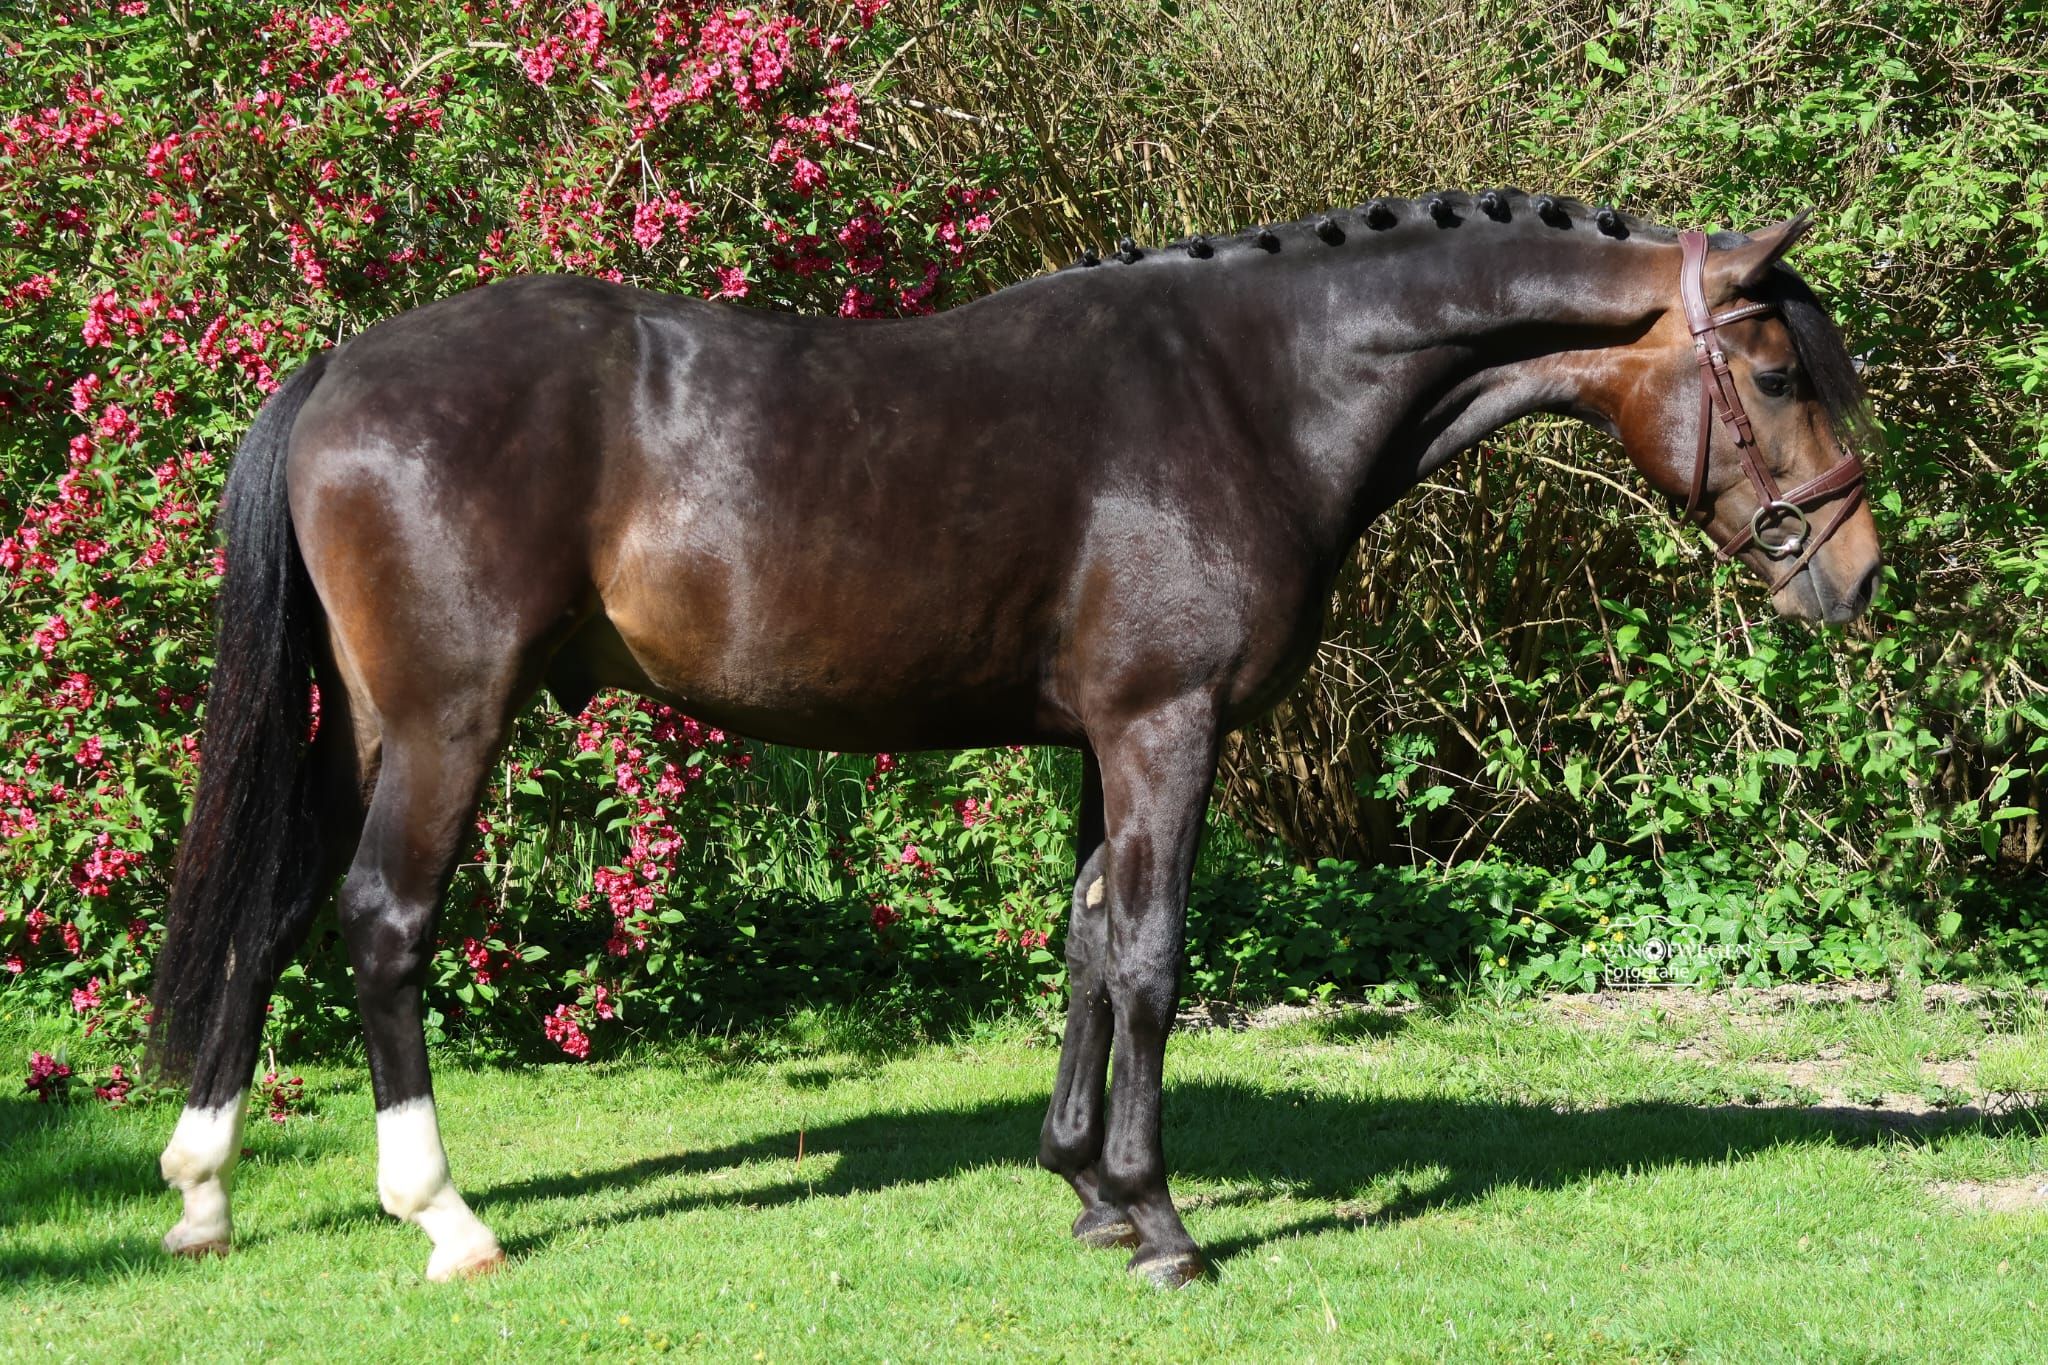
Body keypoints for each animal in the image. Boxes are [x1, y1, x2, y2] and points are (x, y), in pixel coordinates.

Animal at [148, 189, 1879, 1286]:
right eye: (1775, 369)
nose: (1855, 575)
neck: (1255, 387)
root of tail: (342, 366)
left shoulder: (1100, 738)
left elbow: (1089, 942)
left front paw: (1086, 1191)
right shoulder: (1168, 727)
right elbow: (1156, 957)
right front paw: (1161, 1224)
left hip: (365, 726)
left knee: (275, 908)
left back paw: (202, 1192)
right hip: (448, 719)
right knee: (383, 924)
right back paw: (442, 1215)